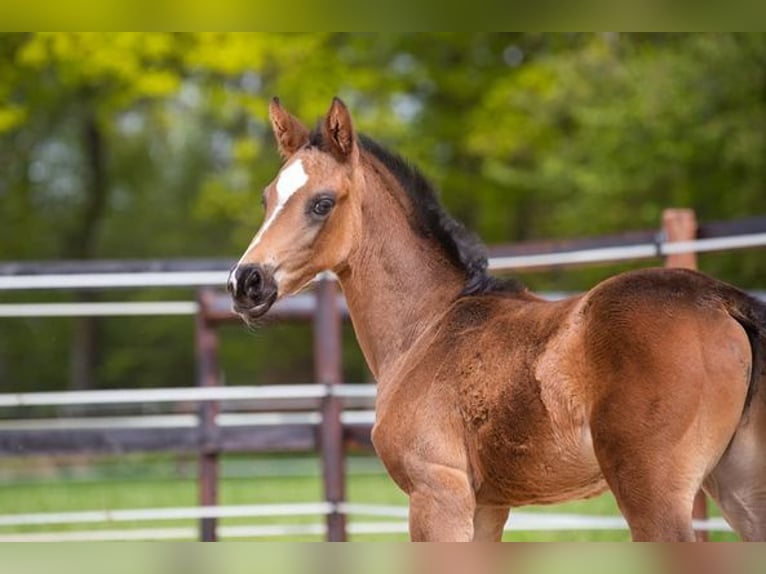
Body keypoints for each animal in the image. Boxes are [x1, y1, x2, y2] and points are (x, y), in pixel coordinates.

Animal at [228, 97, 766, 544]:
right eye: (266, 198)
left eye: (322, 202)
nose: (245, 282)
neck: (428, 325)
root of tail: (722, 300)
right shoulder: (487, 506)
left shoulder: (436, 495)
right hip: (741, 489)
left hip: (653, 495)